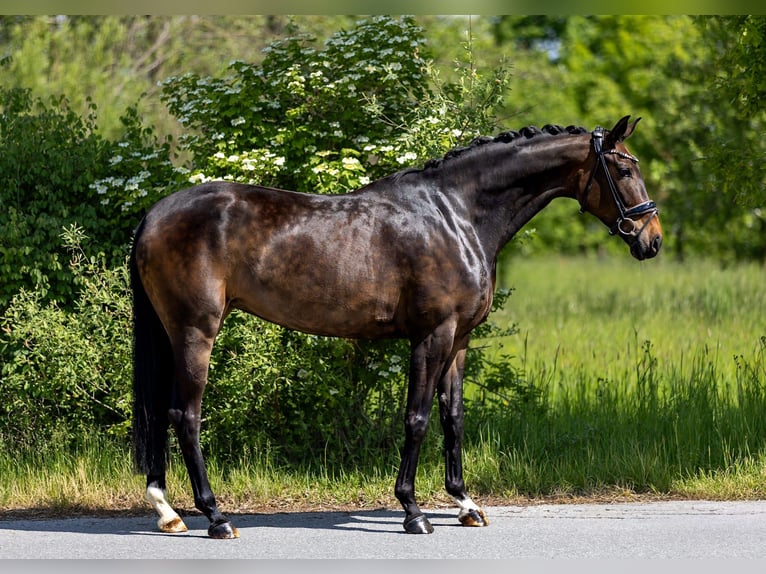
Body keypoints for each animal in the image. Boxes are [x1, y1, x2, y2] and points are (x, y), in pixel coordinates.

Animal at [130, 115, 662, 539]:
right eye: (624, 169)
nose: (651, 239)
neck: (457, 215)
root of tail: (155, 213)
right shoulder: (433, 335)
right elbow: (417, 419)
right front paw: (413, 511)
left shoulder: (460, 340)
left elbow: (453, 418)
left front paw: (465, 504)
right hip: (196, 333)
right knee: (185, 416)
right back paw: (215, 517)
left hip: (170, 334)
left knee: (161, 413)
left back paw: (167, 511)